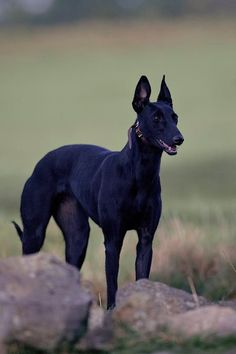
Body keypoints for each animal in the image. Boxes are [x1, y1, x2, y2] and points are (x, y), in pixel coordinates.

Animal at [12, 76, 183, 308]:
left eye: (175, 117)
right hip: (34, 233)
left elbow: (142, 278)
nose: (179, 139)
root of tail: (41, 163)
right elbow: (112, 283)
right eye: (156, 118)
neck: (138, 174)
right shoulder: (112, 240)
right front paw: (112, 310)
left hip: (77, 237)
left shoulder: (146, 240)